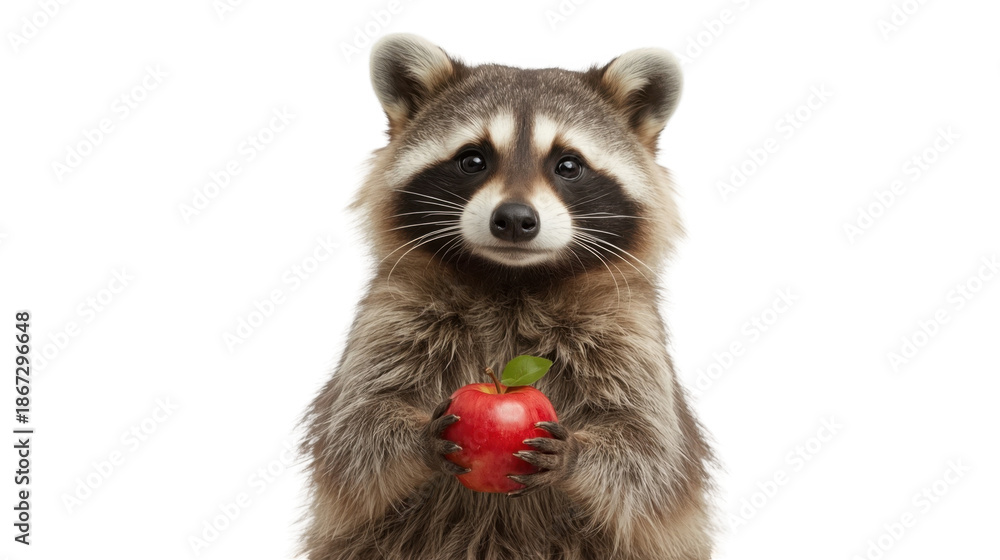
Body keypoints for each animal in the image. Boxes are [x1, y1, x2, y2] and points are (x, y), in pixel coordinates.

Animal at [300, 34, 714, 560]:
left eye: (568, 165)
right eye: (473, 159)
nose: (515, 219)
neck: (512, 281)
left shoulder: (627, 331)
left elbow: (649, 455)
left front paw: (577, 454)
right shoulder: (394, 311)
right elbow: (354, 432)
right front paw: (416, 438)